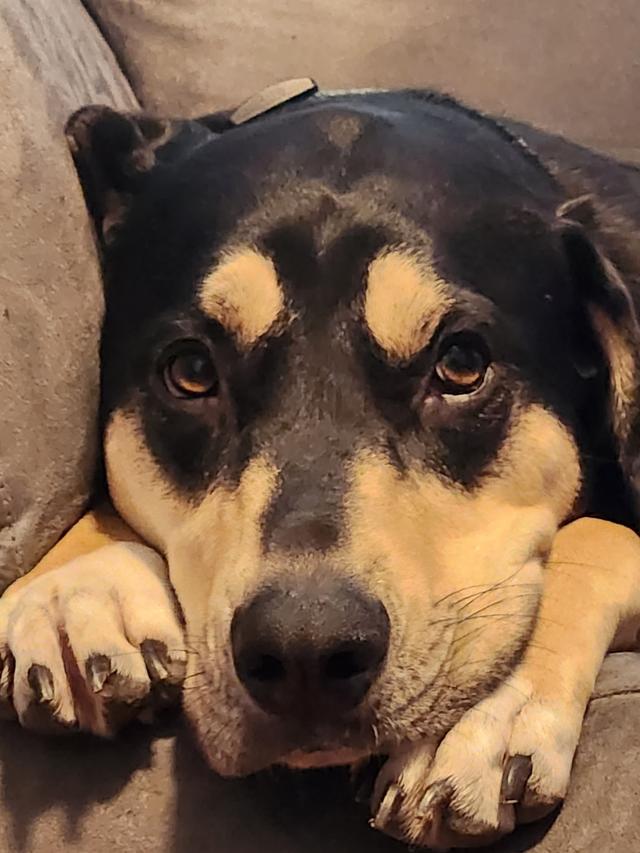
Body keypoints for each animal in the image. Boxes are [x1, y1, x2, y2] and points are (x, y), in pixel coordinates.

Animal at [1, 81, 640, 844]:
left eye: (461, 364)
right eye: (190, 371)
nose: (305, 651)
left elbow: (598, 538)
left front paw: (482, 711)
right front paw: (77, 583)